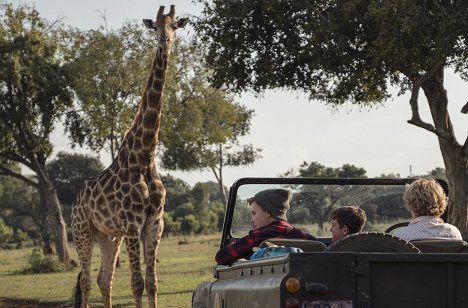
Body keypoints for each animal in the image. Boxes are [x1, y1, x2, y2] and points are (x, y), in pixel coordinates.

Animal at [70, 5, 187, 308]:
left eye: (174, 27)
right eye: (155, 27)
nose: (165, 42)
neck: (144, 155)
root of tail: (74, 202)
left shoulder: (155, 223)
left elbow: (152, 283)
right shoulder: (133, 222)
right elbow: (136, 284)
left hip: (109, 236)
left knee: (104, 279)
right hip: (82, 231)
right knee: (86, 281)